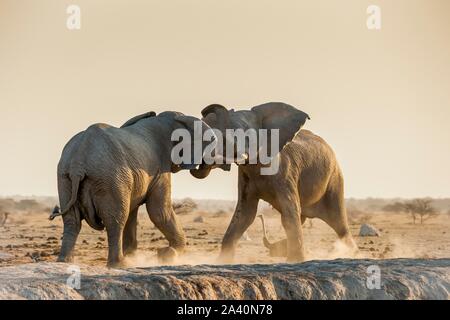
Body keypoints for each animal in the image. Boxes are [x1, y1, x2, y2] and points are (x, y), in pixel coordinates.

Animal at [50, 111, 215, 266]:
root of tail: (78, 162)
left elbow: (133, 211)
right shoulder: (160, 169)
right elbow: (159, 212)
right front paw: (168, 254)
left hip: (65, 178)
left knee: (72, 221)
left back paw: (64, 262)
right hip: (109, 178)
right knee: (115, 220)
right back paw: (120, 265)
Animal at [191, 102, 358, 262]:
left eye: (246, 135)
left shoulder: (284, 171)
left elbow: (289, 210)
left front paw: (295, 261)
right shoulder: (245, 175)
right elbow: (245, 214)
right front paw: (222, 261)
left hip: (334, 179)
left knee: (338, 222)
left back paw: (351, 253)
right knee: (302, 217)